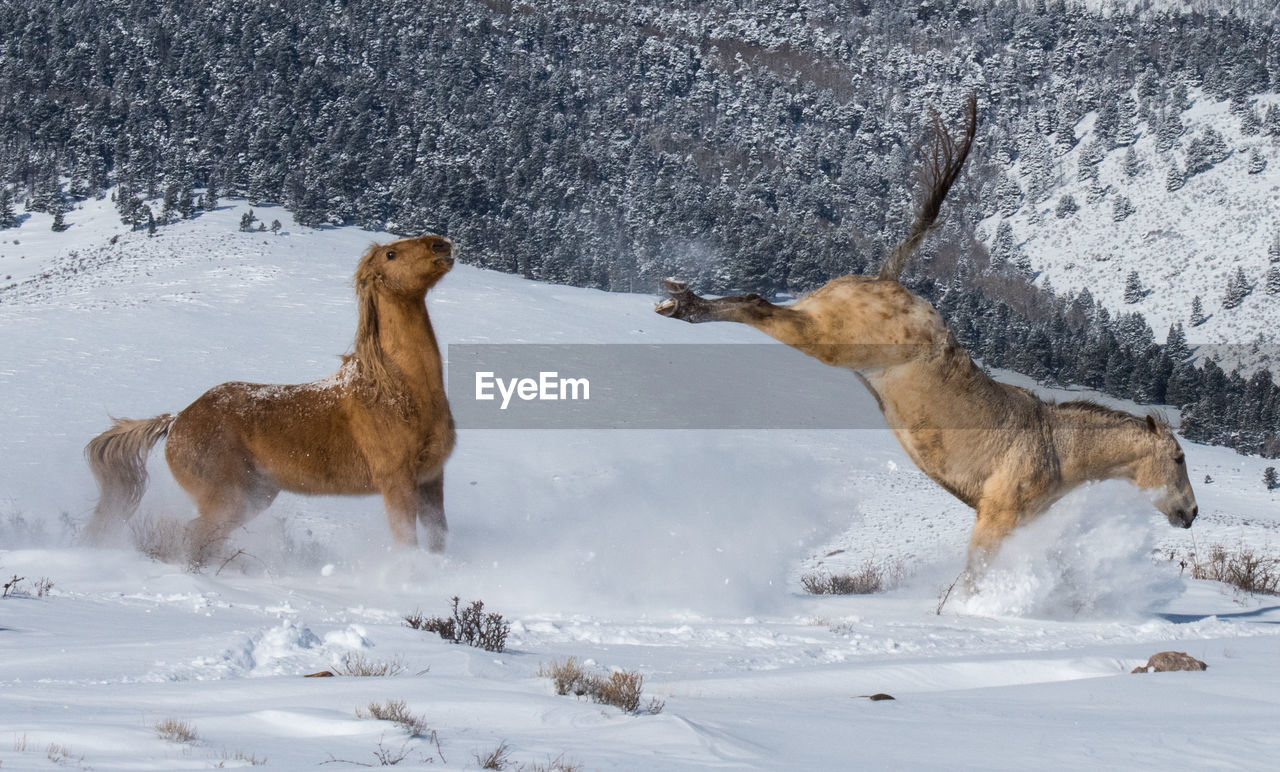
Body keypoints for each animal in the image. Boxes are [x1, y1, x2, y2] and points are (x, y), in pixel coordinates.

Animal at [85, 233, 458, 565]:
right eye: (391, 255)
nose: (441, 245)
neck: (395, 390)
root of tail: (176, 421)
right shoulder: (396, 481)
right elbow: (406, 540)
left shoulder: (431, 477)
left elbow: (438, 535)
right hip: (228, 498)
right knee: (195, 534)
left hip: (254, 497)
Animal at [655, 96, 1192, 576]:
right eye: (1179, 457)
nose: (1191, 514)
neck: (1056, 448)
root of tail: (887, 277)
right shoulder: (995, 519)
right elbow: (971, 578)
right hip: (831, 341)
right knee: (755, 305)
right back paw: (681, 305)